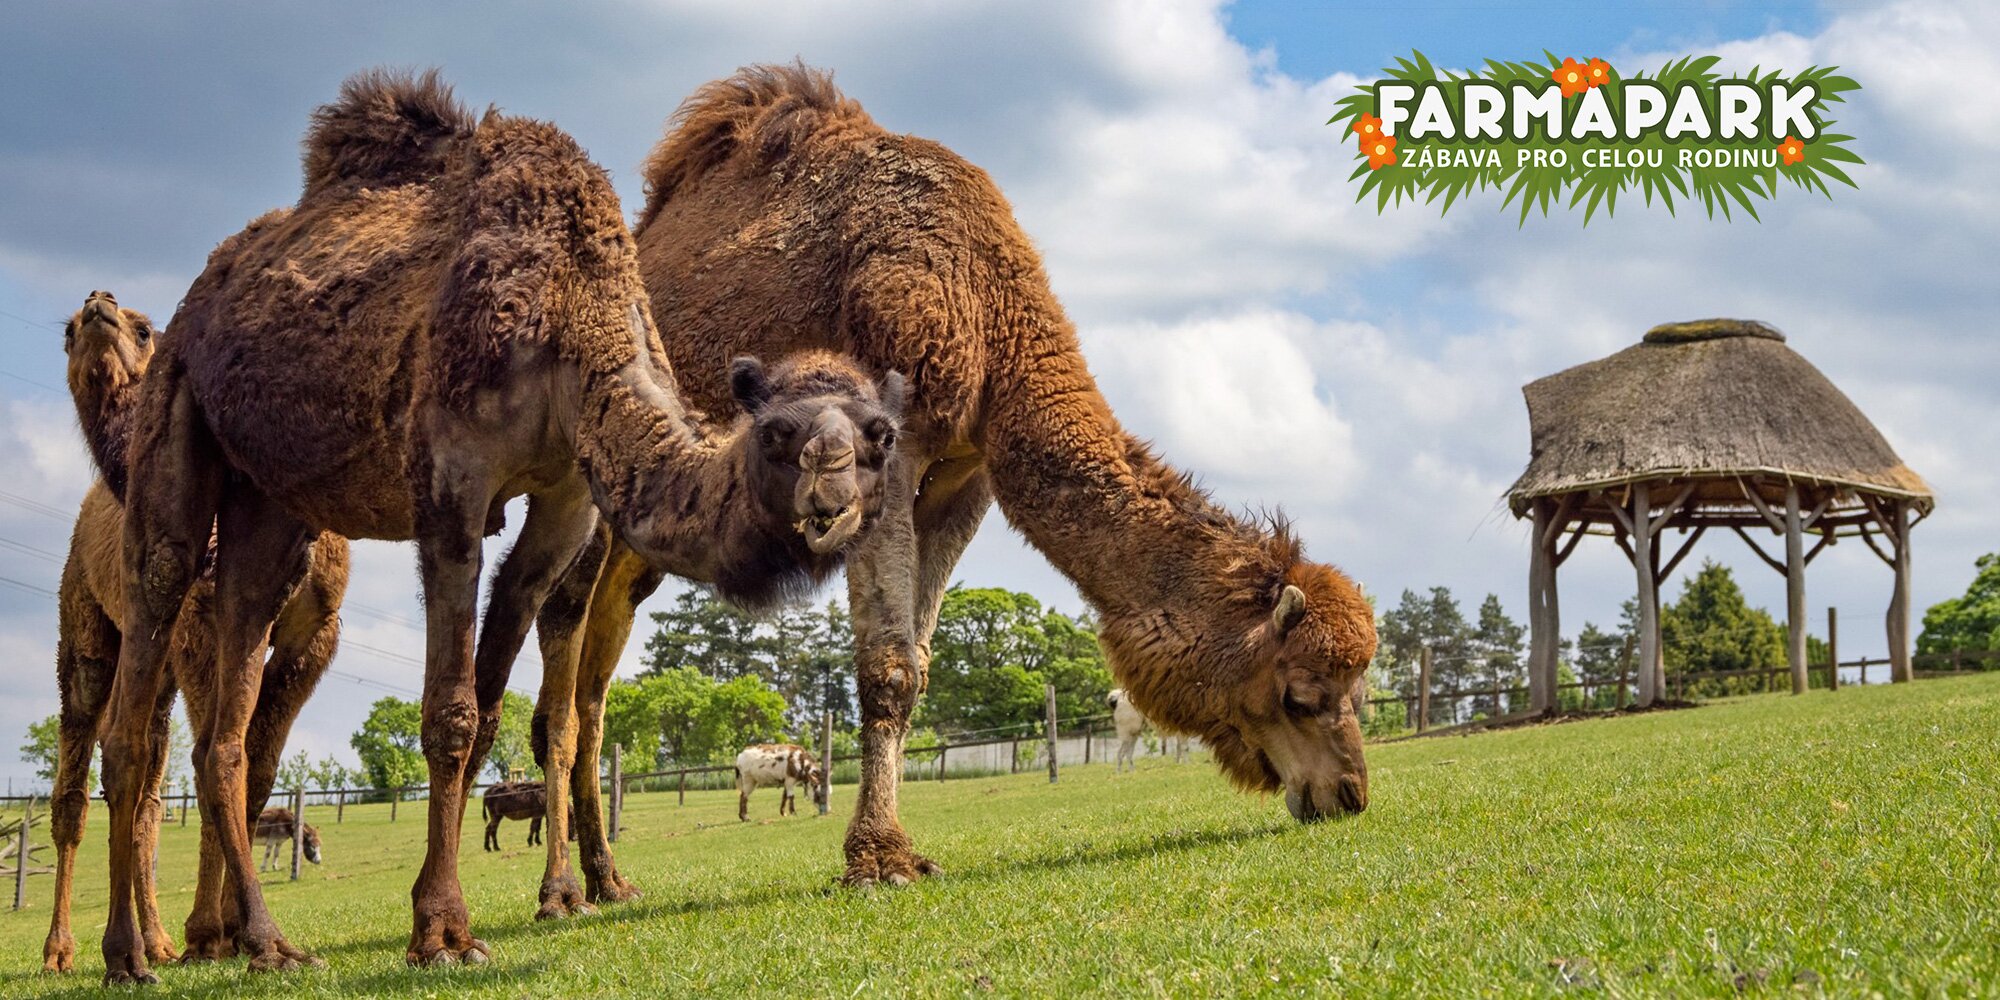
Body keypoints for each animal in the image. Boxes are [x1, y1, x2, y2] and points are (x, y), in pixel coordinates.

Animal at [41, 292, 346, 976]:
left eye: (144, 328)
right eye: (67, 332)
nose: (96, 306)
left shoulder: (314, 635)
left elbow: (256, 767)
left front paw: (226, 932)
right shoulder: (201, 625)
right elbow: (217, 760)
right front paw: (220, 933)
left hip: (159, 672)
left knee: (148, 787)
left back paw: (154, 941)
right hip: (84, 627)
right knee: (77, 783)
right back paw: (62, 952)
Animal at [101, 72, 900, 984]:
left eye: (880, 435)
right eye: (778, 434)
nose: (832, 497)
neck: (573, 310)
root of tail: (199, 297)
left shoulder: (562, 503)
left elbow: (485, 714)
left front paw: (455, 911)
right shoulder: (453, 484)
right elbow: (449, 713)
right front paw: (444, 934)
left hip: (269, 502)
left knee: (227, 722)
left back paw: (267, 943)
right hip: (175, 419)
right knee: (143, 669)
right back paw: (130, 956)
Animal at [540, 62, 1376, 892]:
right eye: (1300, 692)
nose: (1349, 794)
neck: (989, 315)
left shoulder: (964, 477)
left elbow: (917, 661)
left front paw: (895, 849)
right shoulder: (886, 448)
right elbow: (887, 666)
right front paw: (879, 858)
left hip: (642, 544)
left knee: (596, 674)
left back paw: (607, 879)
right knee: (561, 650)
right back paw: (564, 895)